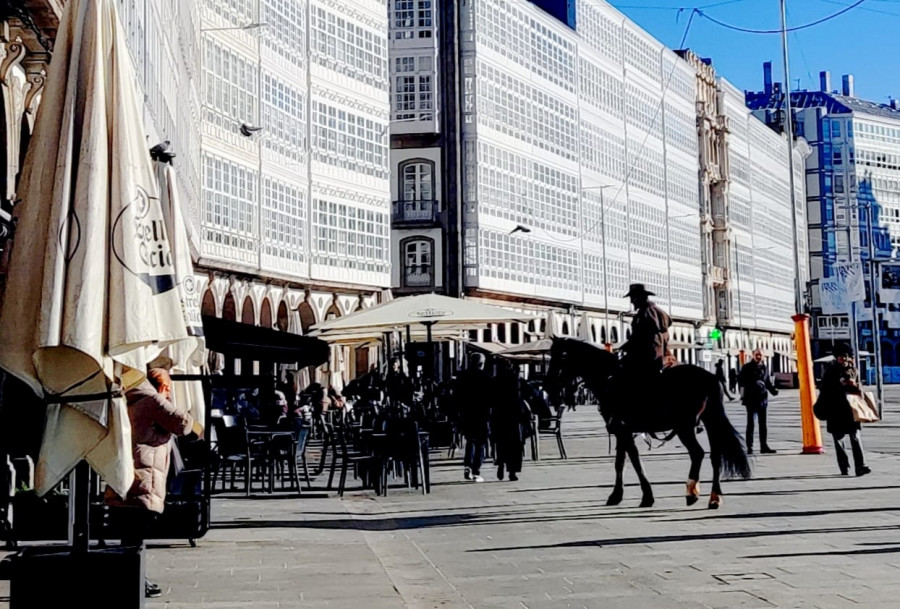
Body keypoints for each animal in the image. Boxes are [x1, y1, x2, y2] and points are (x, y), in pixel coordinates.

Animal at [544, 338, 748, 508]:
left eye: (562, 356)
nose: (547, 384)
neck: (610, 379)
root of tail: (711, 377)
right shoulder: (620, 430)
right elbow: (620, 462)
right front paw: (616, 495)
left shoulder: (623, 429)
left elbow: (634, 460)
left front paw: (646, 496)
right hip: (709, 421)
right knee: (715, 457)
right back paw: (714, 497)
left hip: (684, 427)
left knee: (697, 453)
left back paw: (691, 492)